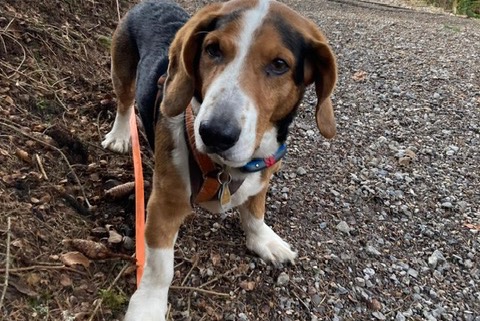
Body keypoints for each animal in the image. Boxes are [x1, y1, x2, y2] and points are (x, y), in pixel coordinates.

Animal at [103, 0, 338, 318]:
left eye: (279, 65)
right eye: (212, 49)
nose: (215, 133)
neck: (228, 168)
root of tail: (151, 3)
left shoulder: (263, 175)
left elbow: (255, 213)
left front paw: (263, 240)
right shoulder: (164, 204)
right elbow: (160, 268)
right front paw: (148, 307)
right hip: (122, 70)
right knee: (125, 102)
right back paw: (119, 135)